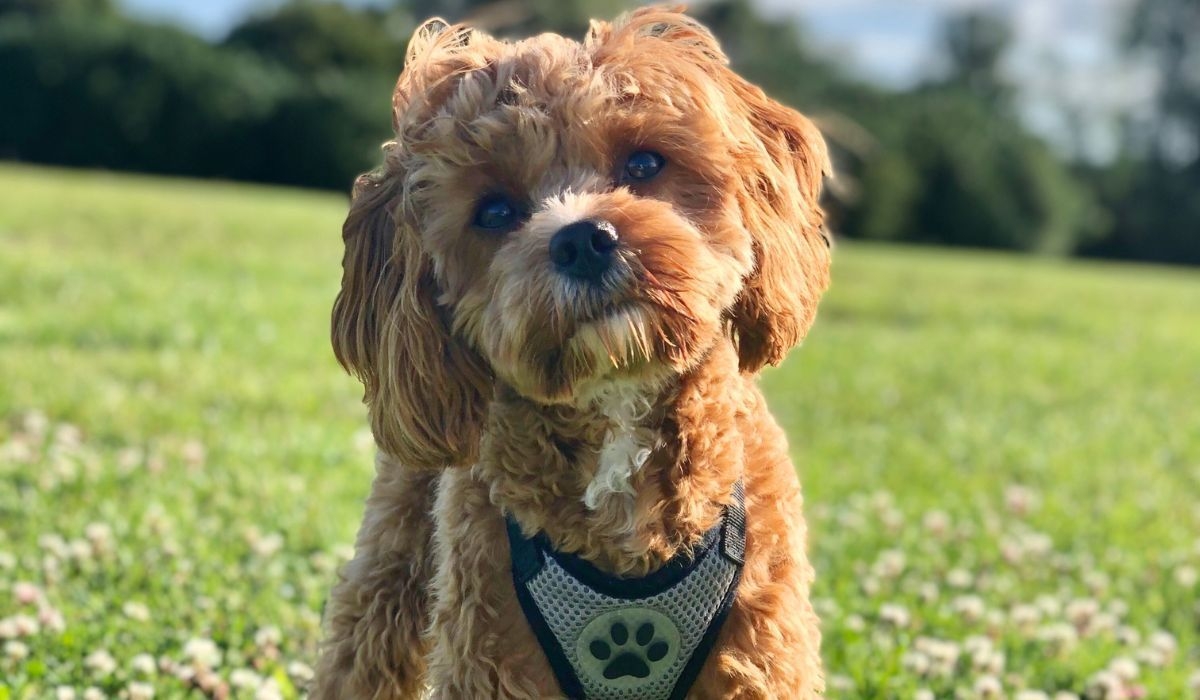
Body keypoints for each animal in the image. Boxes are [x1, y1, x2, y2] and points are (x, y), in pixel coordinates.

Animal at [314, 6, 830, 700]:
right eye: (495, 210)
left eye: (644, 164)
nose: (583, 240)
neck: (616, 409)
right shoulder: (494, 656)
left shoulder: (759, 651)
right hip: (395, 553)